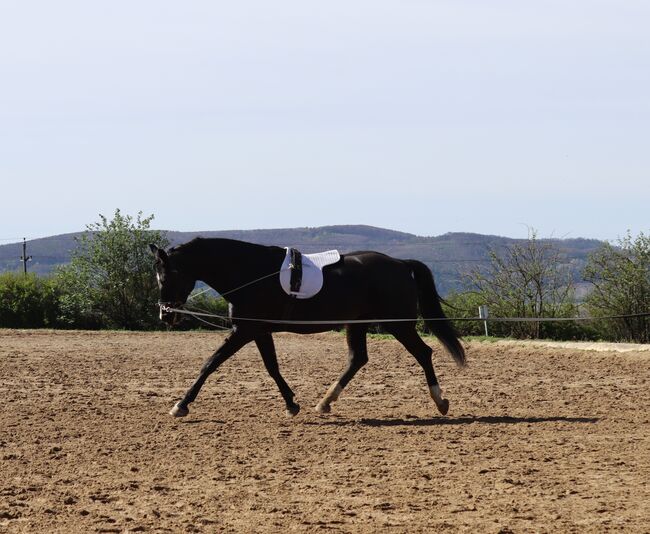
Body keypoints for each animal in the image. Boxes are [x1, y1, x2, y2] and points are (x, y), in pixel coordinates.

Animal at [149, 238, 464, 418]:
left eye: (168, 275)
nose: (166, 316)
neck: (249, 271)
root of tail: (400, 263)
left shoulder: (244, 331)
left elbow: (210, 363)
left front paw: (181, 405)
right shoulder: (258, 330)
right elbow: (272, 367)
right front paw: (291, 404)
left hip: (398, 325)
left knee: (423, 353)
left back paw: (440, 402)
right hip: (358, 324)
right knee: (357, 359)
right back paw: (325, 402)